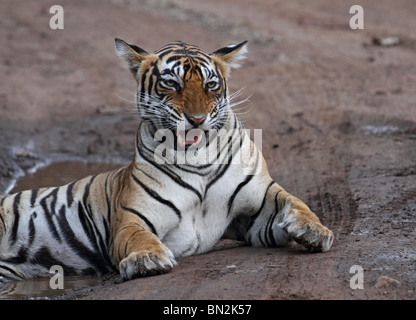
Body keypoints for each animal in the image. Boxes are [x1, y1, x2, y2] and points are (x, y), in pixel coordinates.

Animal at [0, 38, 334, 282]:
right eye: (172, 84)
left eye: (211, 85)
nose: (197, 119)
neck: (199, 158)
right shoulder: (133, 217)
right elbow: (137, 237)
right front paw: (146, 259)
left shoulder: (256, 212)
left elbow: (295, 201)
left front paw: (316, 230)